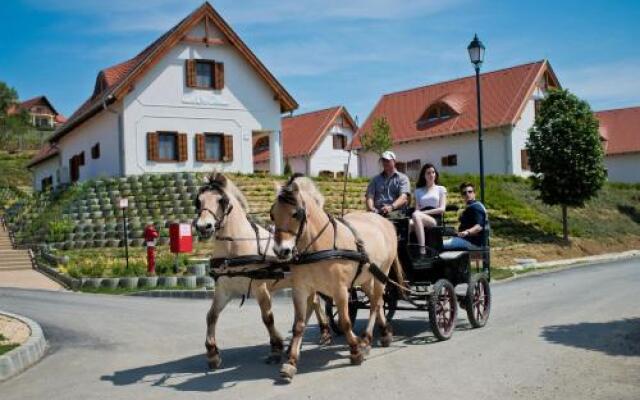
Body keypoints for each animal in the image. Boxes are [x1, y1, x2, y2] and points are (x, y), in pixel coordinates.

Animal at [194, 172, 330, 368]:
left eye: (221, 200)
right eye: (199, 200)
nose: (203, 226)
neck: (233, 248)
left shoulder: (260, 288)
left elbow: (267, 318)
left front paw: (276, 348)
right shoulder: (224, 290)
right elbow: (211, 316)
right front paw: (212, 353)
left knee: (314, 303)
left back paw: (322, 333)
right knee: (313, 303)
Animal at [272, 177, 404, 382]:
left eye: (295, 214)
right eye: (272, 215)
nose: (281, 251)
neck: (319, 245)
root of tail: (384, 221)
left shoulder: (340, 290)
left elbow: (345, 321)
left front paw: (355, 350)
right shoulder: (300, 290)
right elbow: (299, 325)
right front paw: (291, 362)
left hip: (382, 272)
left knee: (375, 304)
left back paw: (367, 339)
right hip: (367, 278)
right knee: (378, 302)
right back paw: (384, 333)